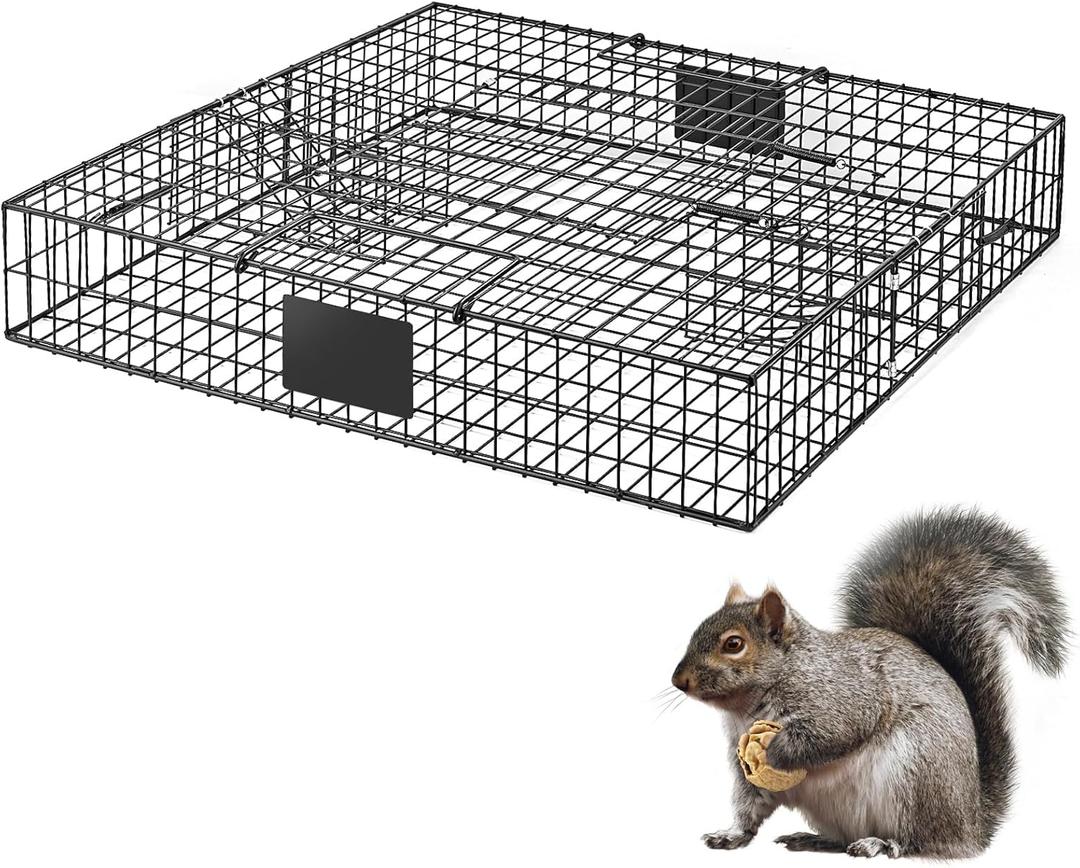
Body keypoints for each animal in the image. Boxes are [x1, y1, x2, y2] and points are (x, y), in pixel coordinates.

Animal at [671, 508, 1069, 859]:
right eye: (697, 629)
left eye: (734, 644)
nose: (678, 681)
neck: (749, 706)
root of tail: (972, 824)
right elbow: (750, 799)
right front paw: (731, 834)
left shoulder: (844, 696)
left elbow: (835, 732)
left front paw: (776, 750)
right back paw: (815, 840)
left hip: (914, 777)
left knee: (919, 840)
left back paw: (881, 843)